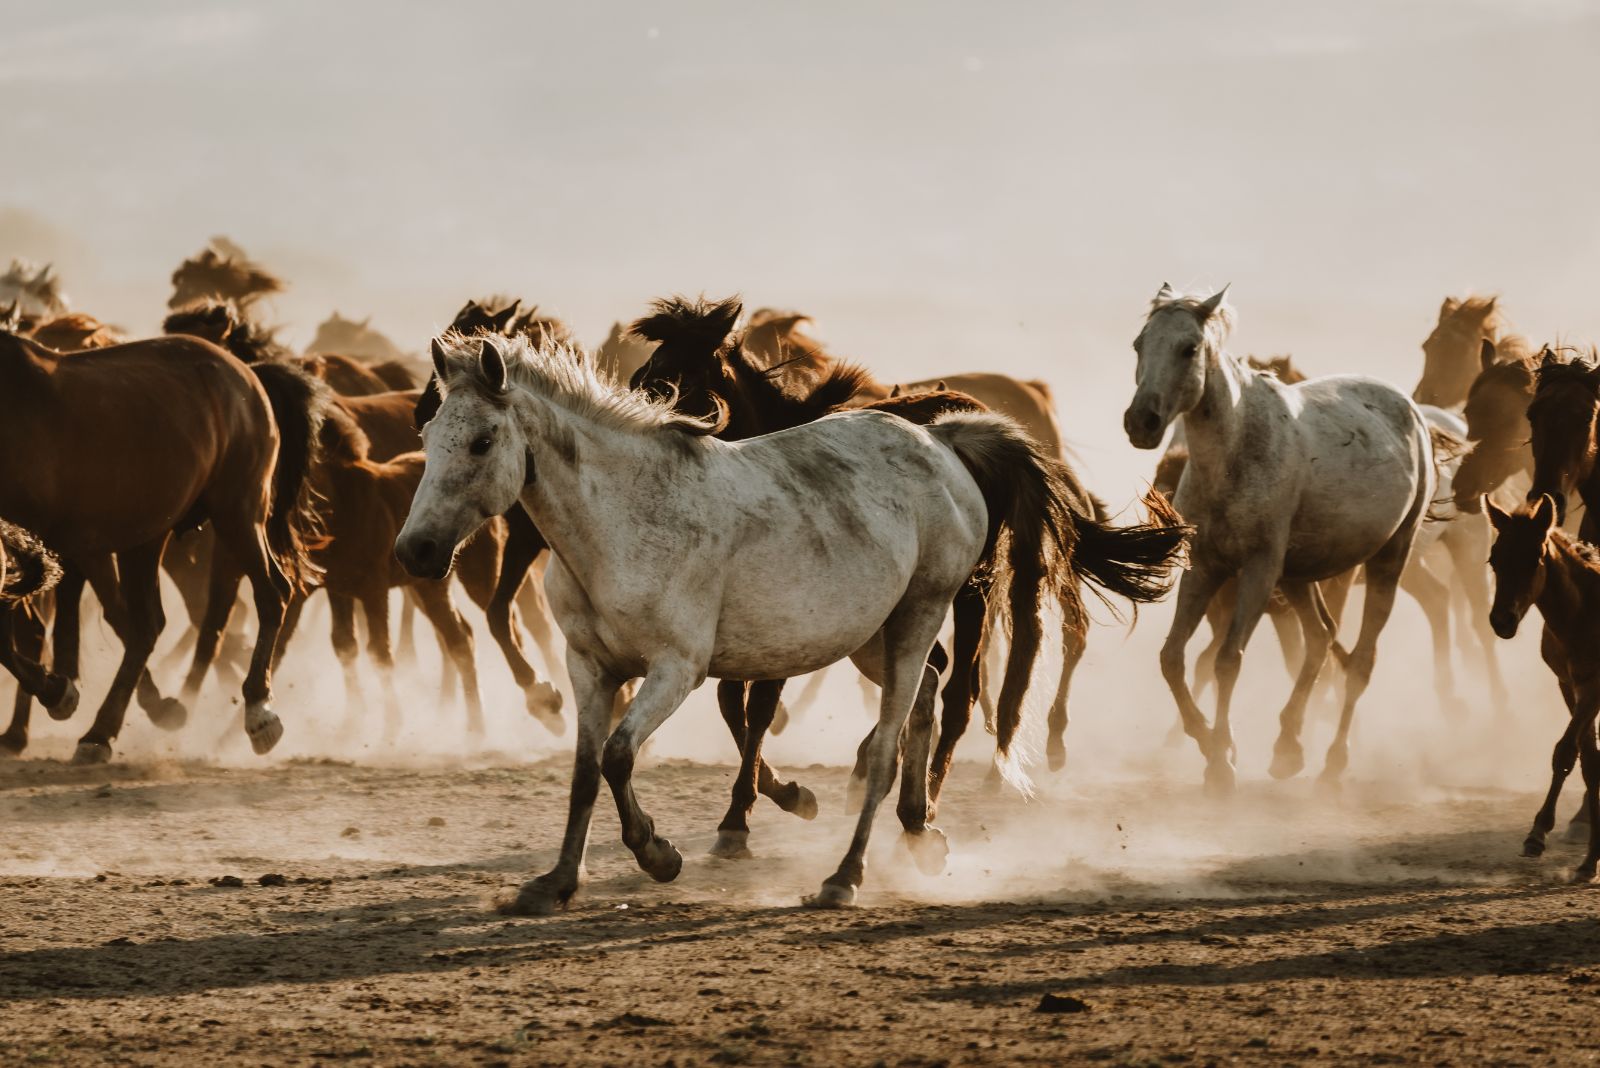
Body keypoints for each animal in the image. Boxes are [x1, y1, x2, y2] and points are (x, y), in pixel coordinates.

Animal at [0, 330, 321, 757]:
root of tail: (248, 375)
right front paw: (58, 691)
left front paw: (58, 691)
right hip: (147, 536)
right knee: (145, 626)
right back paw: (104, 730)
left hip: (238, 512)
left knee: (272, 593)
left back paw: (258, 712)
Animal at [398, 330, 1094, 908]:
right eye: (427, 438)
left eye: (483, 441)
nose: (416, 551)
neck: (622, 519)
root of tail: (943, 440)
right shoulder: (589, 667)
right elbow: (584, 772)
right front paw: (557, 882)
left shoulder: (676, 668)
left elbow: (619, 757)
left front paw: (659, 854)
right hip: (872, 633)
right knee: (924, 694)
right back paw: (920, 833)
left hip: (921, 612)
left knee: (890, 743)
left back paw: (844, 877)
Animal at [1120, 282, 1433, 793]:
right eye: (1139, 344)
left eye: (1189, 348)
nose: (1141, 422)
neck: (1235, 454)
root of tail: (1410, 411)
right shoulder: (1206, 568)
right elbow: (1173, 657)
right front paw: (1208, 741)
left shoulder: (1258, 570)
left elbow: (1228, 660)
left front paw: (1220, 762)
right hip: (1298, 575)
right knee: (1321, 638)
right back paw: (1288, 748)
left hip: (1387, 558)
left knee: (1360, 662)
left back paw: (1333, 762)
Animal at [1484, 495, 1600, 882]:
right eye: (1494, 558)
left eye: (1535, 555)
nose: (1501, 621)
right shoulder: (1569, 684)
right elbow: (1588, 761)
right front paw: (1589, 861)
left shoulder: (1593, 687)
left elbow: (1564, 752)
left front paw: (1537, 833)